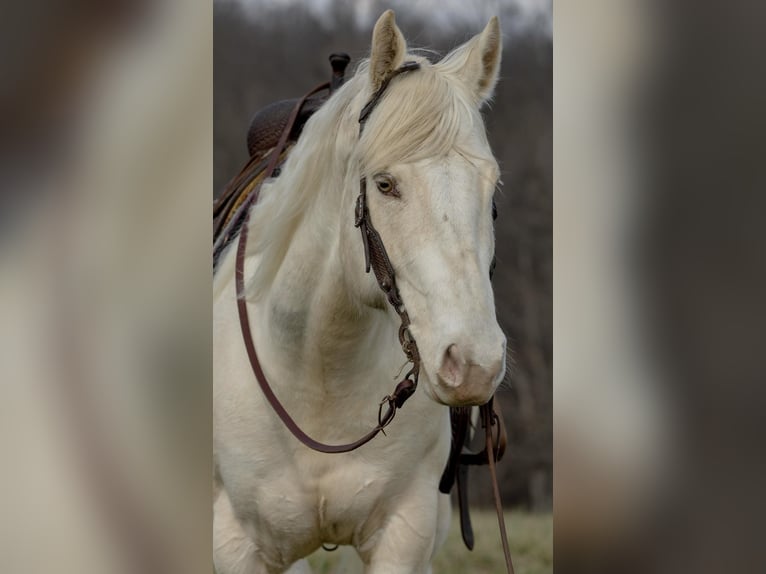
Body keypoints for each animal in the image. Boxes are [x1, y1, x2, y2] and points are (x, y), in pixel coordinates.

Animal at [213, 10, 508, 574]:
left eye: (491, 189)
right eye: (385, 185)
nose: (474, 365)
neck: (319, 370)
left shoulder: (405, 536)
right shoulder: (236, 547)